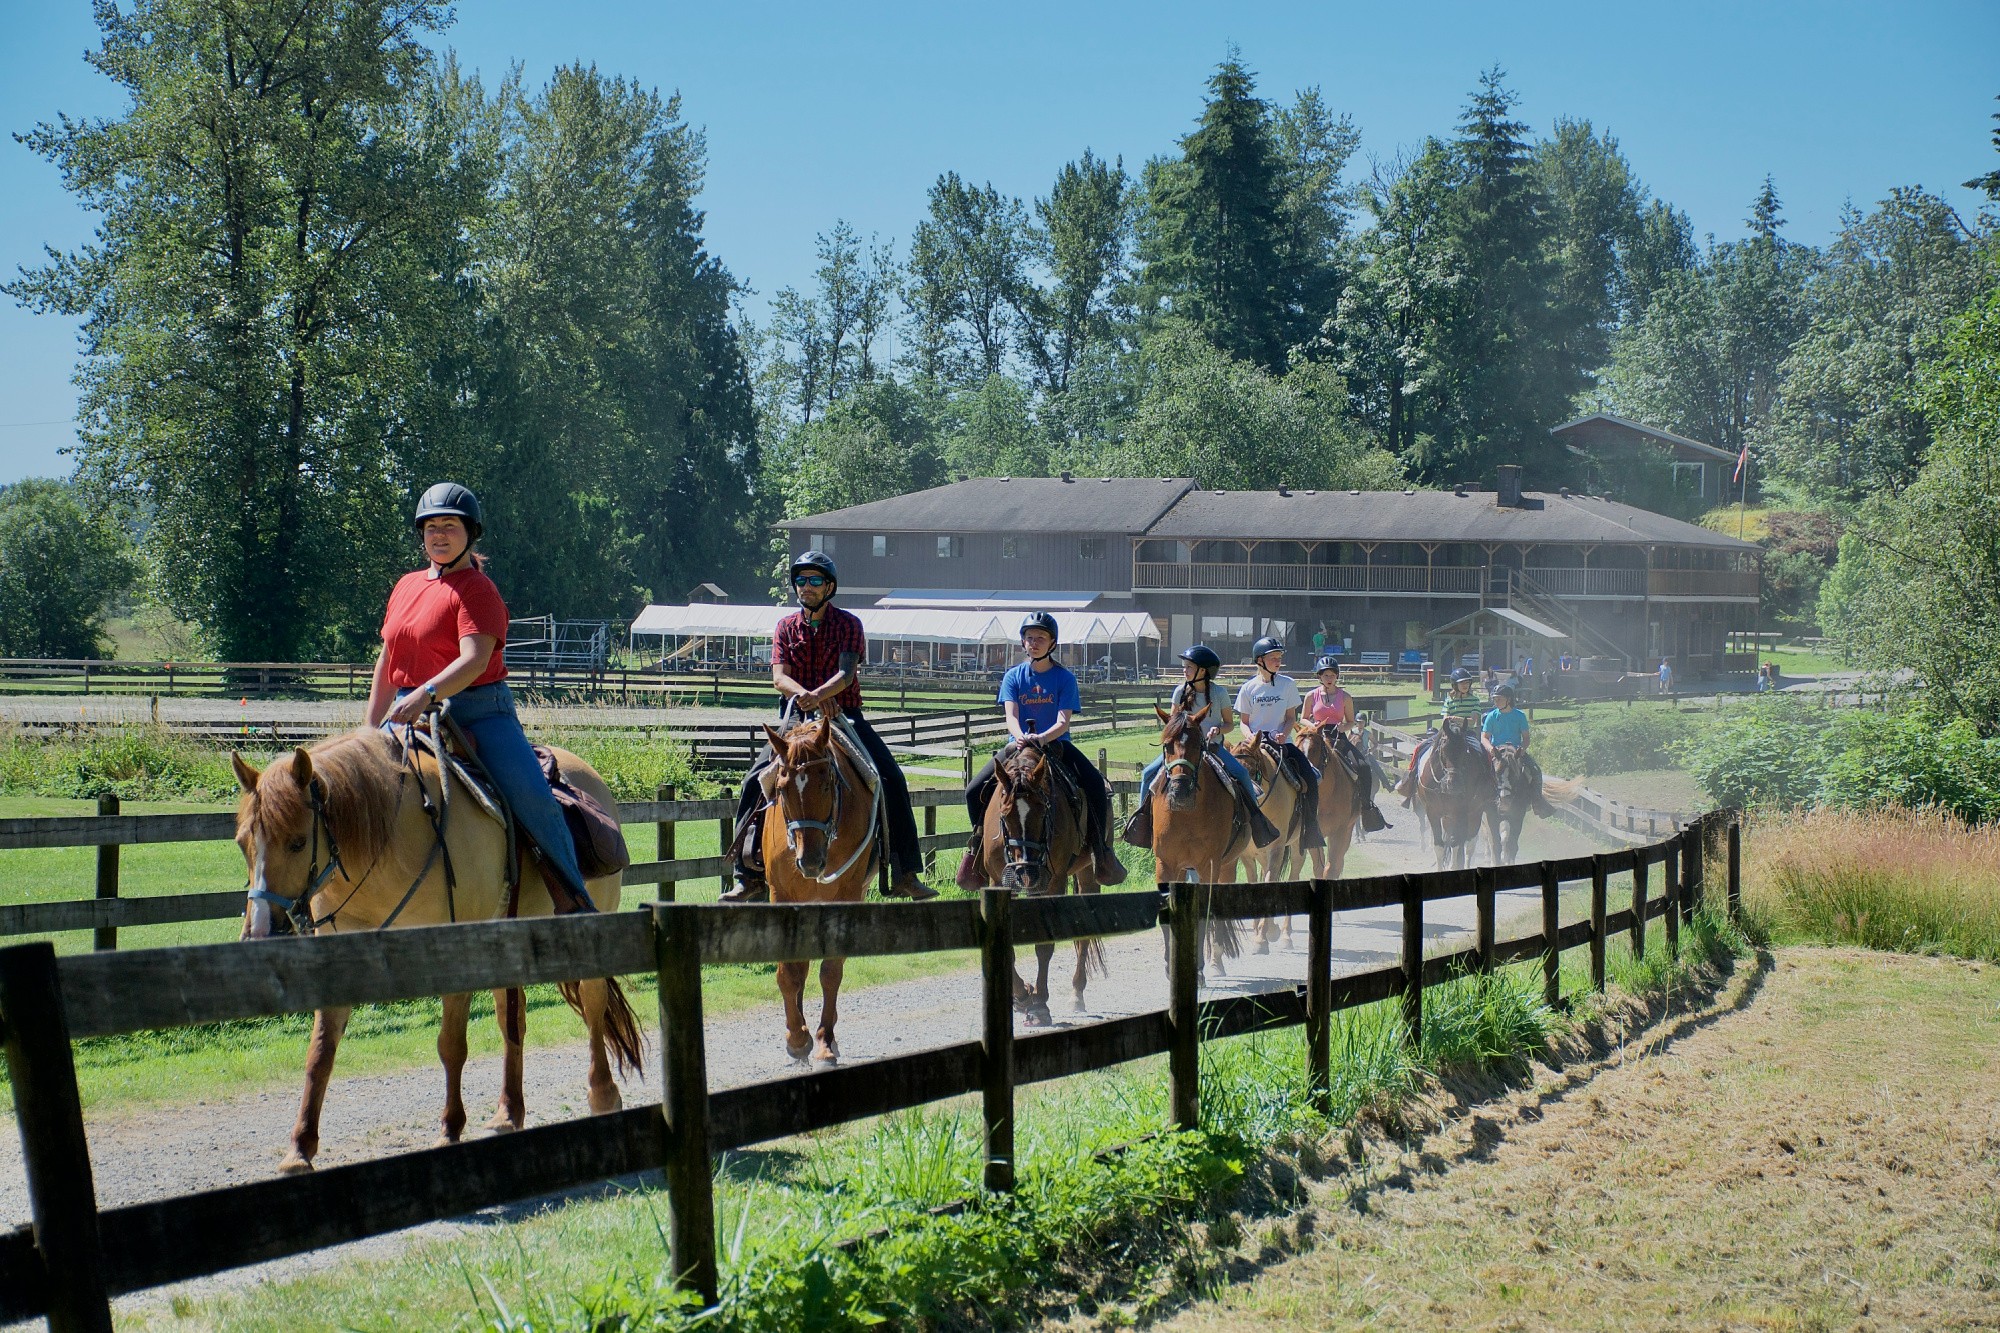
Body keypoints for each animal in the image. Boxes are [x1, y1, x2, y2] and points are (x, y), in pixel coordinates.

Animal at [233, 728, 640, 1176]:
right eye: (242, 844)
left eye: (297, 842)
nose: (259, 935)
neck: (391, 840)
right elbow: (320, 1053)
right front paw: (299, 1149)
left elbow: (451, 1045)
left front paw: (450, 1127)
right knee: (512, 1019)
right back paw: (508, 1113)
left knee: (593, 1002)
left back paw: (602, 1095)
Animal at [760, 704, 880, 1056]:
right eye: (781, 788)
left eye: (827, 784)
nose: (810, 861)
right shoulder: (781, 894)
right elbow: (790, 970)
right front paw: (796, 1037)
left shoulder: (848, 894)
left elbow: (831, 971)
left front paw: (824, 1042)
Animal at [972, 732, 1112, 1020]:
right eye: (1004, 815)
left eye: (1044, 810)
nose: (1027, 870)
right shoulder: (998, 882)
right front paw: (1021, 995)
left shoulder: (1053, 884)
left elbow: (1045, 945)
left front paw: (1039, 1004)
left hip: (1087, 874)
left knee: (1085, 934)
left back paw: (1076, 994)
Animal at [1416, 720, 1496, 868]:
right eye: (1444, 748)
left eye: (1465, 750)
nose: (1454, 783)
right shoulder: (1432, 812)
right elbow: (1439, 846)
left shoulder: (1459, 812)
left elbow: (1456, 845)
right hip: (1448, 817)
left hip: (1475, 812)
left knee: (1469, 845)